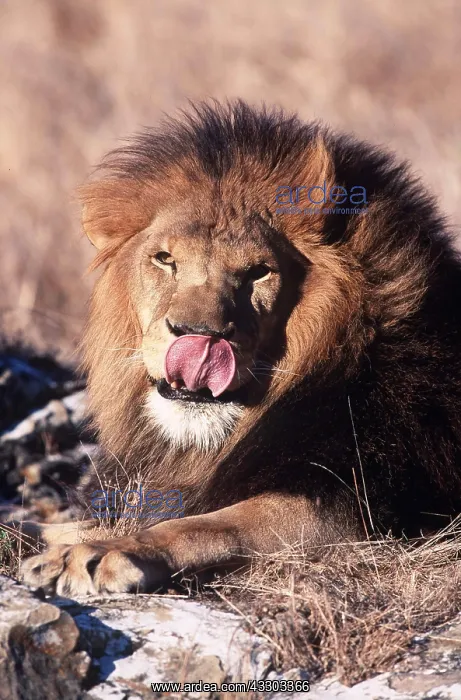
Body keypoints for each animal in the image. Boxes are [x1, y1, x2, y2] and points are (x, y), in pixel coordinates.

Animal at [21, 101, 461, 596]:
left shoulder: (354, 514)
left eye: (258, 272)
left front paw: (102, 552)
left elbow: (206, 525)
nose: (199, 335)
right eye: (165, 260)